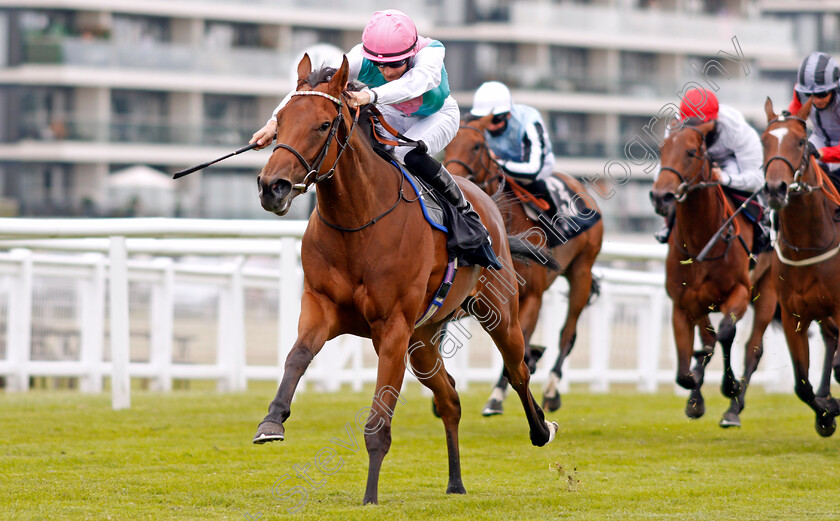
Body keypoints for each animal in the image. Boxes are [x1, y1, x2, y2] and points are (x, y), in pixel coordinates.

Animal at [253, 57, 560, 504]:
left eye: (324, 124)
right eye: (280, 120)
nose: (271, 187)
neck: (358, 222)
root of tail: (488, 204)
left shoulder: (393, 328)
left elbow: (379, 420)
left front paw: (369, 497)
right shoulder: (321, 306)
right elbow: (297, 356)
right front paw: (271, 422)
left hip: (499, 313)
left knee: (519, 369)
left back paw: (540, 428)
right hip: (425, 340)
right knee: (450, 399)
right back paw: (455, 483)